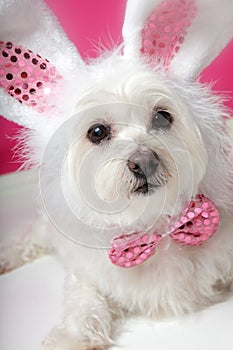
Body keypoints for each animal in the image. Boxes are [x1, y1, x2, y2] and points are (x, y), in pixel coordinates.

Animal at [0, 0, 233, 348]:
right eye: (97, 132)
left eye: (162, 117)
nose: (144, 162)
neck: (152, 228)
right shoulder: (87, 275)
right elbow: (83, 304)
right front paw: (70, 338)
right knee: (29, 236)